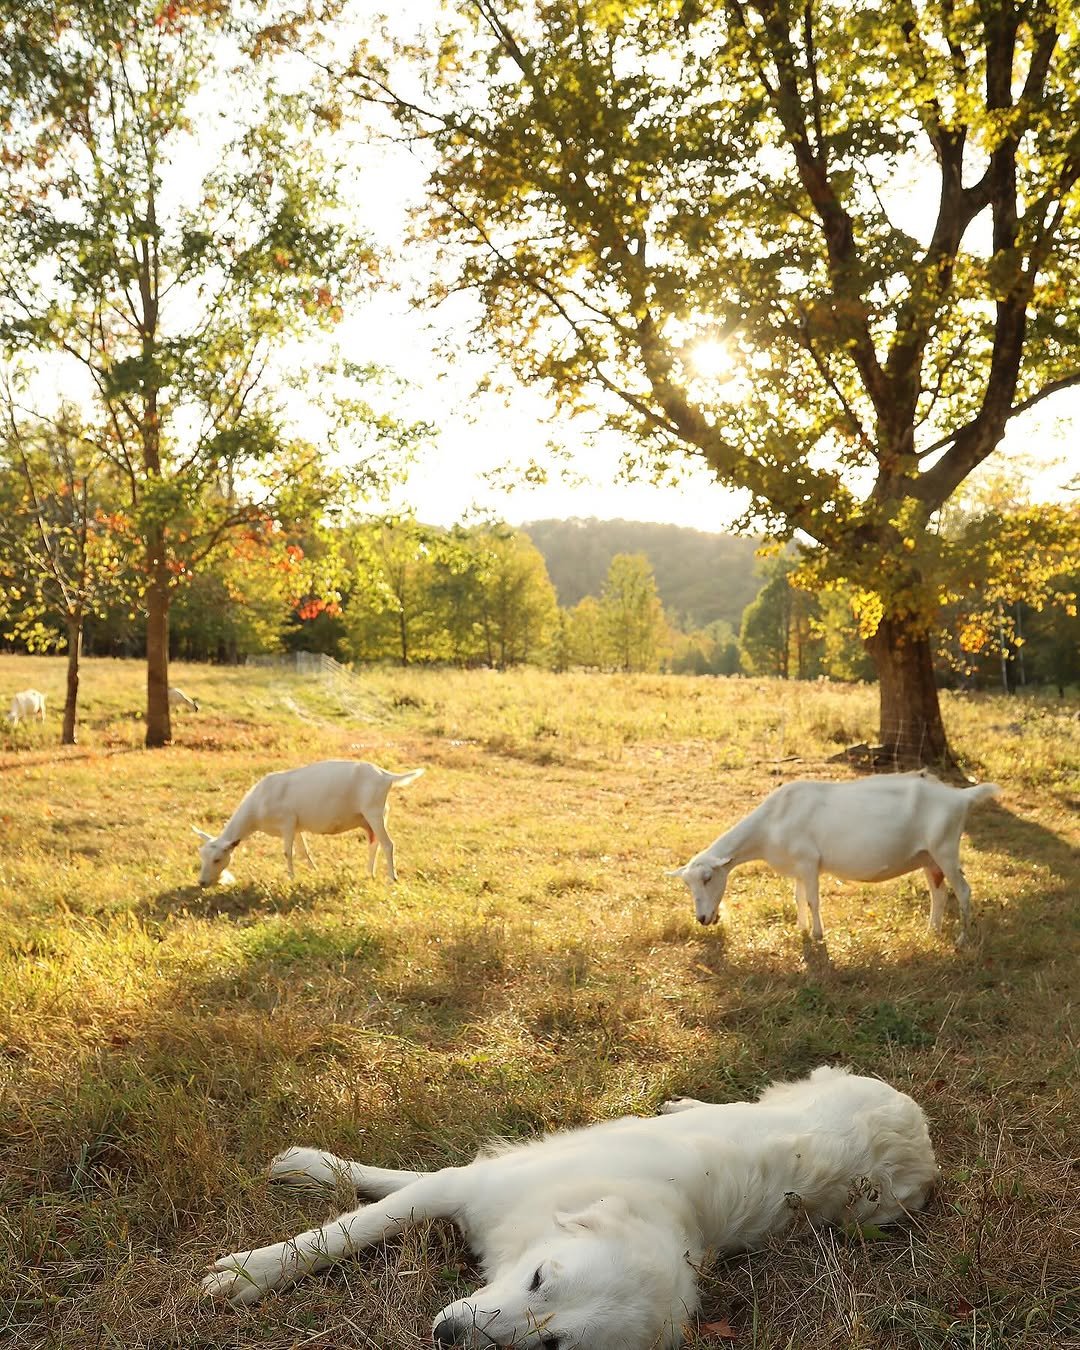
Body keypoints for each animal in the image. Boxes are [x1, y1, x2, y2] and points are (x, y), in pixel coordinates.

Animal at [192, 759, 425, 886]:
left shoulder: (287, 822)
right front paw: (315, 871)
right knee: (374, 842)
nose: (202, 883)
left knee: (388, 844)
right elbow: (304, 852)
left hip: (374, 812)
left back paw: (392, 878)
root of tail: (386, 776)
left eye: (217, 859)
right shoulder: (296, 826)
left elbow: (288, 853)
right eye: (202, 856)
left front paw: (291, 878)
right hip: (371, 816)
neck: (257, 807)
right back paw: (370, 873)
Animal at [668, 772, 1000, 944]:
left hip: (945, 848)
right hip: (929, 857)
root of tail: (961, 797)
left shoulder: (808, 861)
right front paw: (802, 930)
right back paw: (931, 931)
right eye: (687, 884)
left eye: (708, 878)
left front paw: (817, 935)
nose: (702, 919)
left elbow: (813, 900)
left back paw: (962, 938)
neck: (770, 824)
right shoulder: (799, 867)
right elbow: (798, 898)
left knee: (964, 891)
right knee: (939, 894)